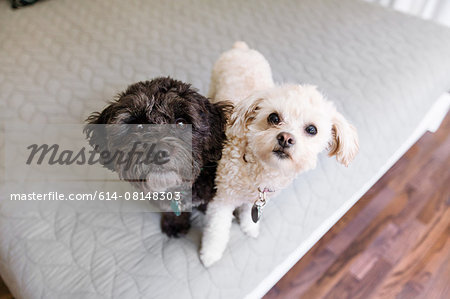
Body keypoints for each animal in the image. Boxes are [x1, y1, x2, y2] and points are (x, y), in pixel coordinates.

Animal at [200, 41, 358, 268]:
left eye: (312, 130)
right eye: (274, 118)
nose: (285, 138)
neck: (259, 168)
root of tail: (241, 48)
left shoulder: (255, 198)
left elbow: (249, 213)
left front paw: (249, 227)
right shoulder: (222, 199)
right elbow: (217, 230)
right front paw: (210, 253)